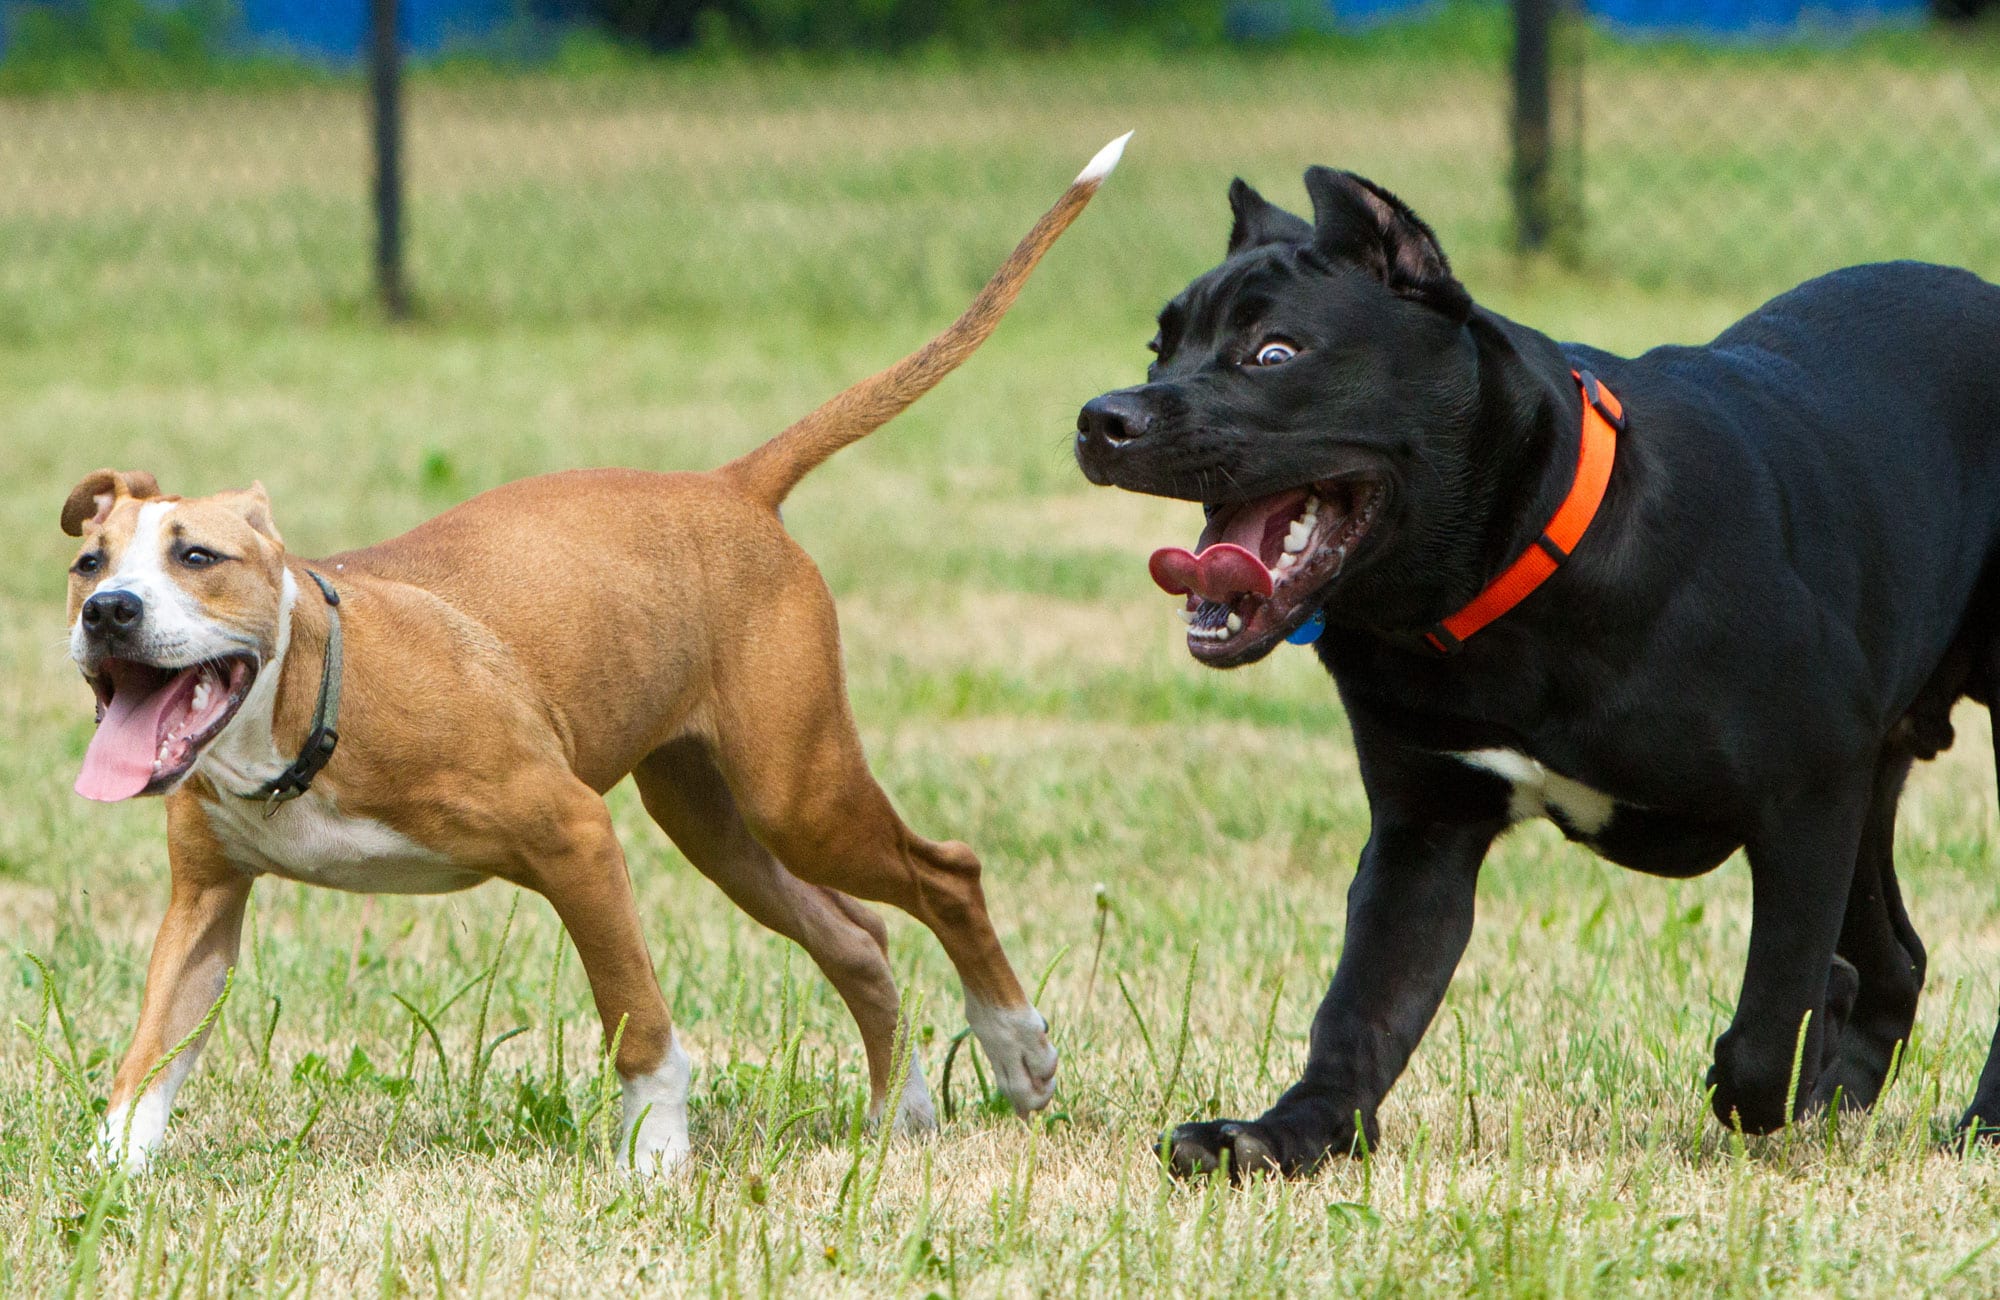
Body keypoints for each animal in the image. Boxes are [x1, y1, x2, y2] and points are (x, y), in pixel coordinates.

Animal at [62, 134, 1128, 1176]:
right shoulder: (205, 903)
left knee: (947, 874)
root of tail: (731, 486)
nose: (109, 612)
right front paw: (109, 1174)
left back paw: (1017, 1048)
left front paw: (654, 1148)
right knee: (856, 935)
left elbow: (633, 1015)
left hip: (801, 794)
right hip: (715, 822)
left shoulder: (575, 837)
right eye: (88, 561)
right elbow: (149, 1057)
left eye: (197, 557)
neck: (310, 707)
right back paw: (898, 1110)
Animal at [1080, 165, 2000, 1176]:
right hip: (1876, 772)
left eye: (1275, 353)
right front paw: (1286, 1132)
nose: (1103, 418)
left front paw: (1770, 1073)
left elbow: (1772, 1015)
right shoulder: (1424, 829)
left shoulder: (1808, 792)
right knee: (1897, 959)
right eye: (1160, 349)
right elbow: (1364, 1007)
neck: (1501, 574)